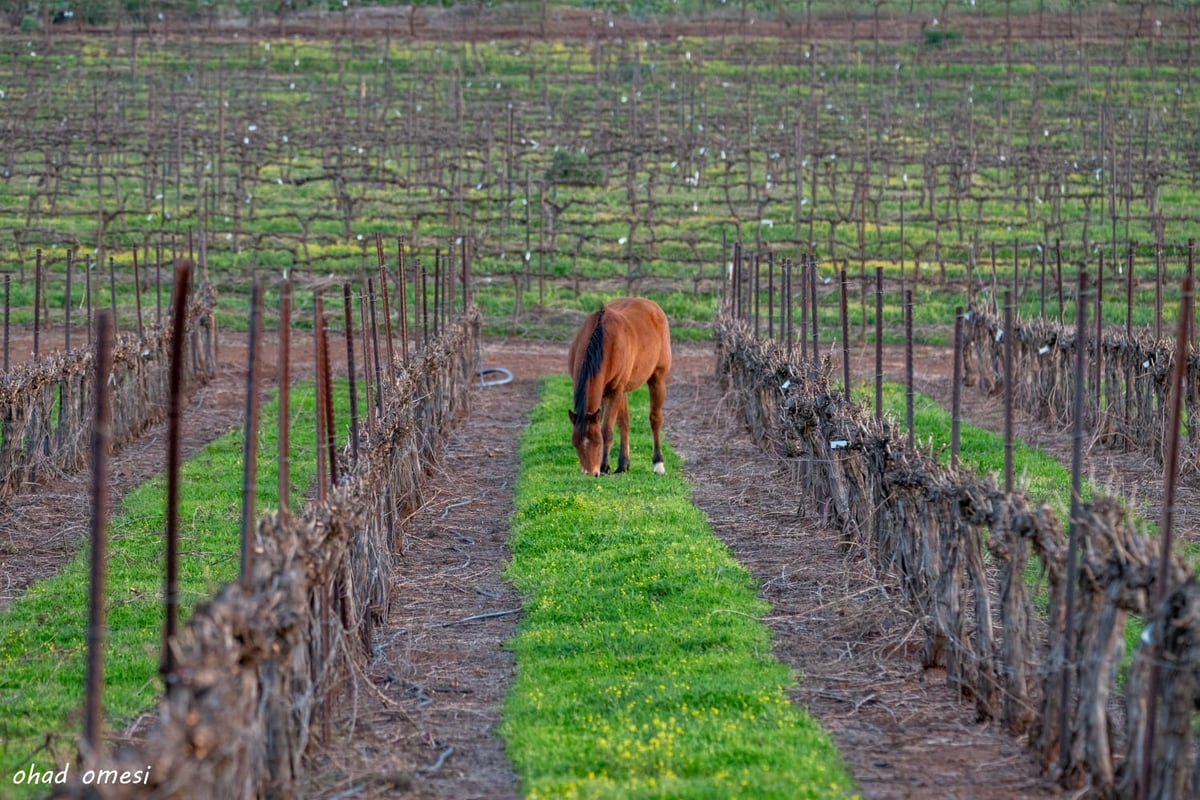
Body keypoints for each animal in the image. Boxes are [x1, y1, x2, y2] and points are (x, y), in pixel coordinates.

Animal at [566, 298, 672, 474]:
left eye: (597, 442)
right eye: (575, 444)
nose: (590, 473)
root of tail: (652, 305)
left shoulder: (615, 392)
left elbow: (606, 431)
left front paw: (604, 467)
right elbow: (618, 424)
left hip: (657, 379)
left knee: (655, 419)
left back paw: (658, 463)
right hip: (623, 391)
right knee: (624, 423)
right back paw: (623, 464)